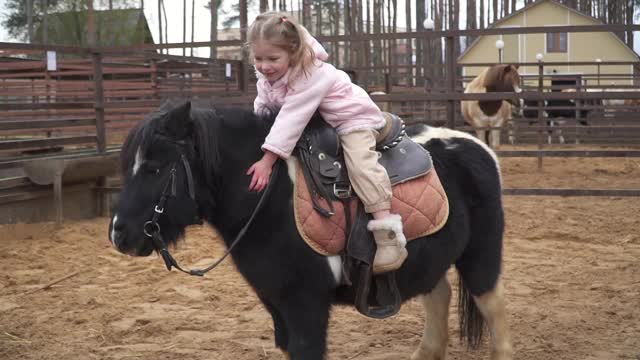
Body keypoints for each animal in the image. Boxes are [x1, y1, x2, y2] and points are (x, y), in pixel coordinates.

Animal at [107, 101, 512, 360]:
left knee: (493, 309)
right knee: (439, 297)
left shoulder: (306, 306)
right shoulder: (277, 305)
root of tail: (476, 146)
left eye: (155, 168)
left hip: (481, 256)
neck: (270, 200)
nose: (119, 234)